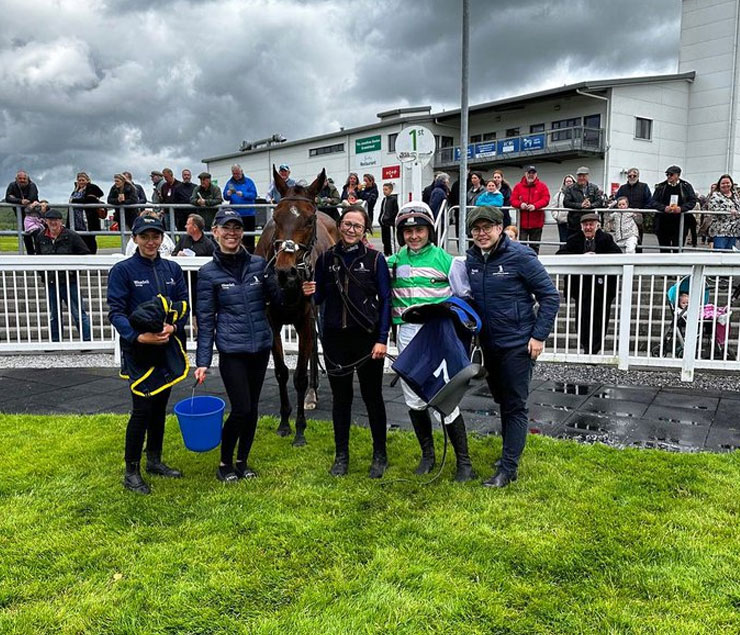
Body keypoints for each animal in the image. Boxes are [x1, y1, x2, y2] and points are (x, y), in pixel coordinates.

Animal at [253, 168, 336, 448]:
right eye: (276, 218)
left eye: (309, 221)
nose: (284, 271)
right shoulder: (272, 321)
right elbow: (281, 372)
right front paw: (284, 423)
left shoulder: (305, 318)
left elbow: (299, 375)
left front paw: (300, 430)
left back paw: (312, 391)